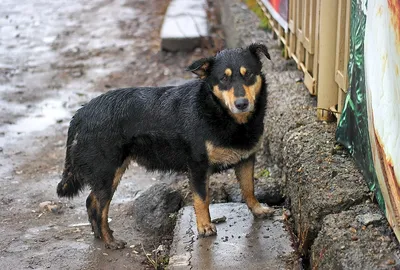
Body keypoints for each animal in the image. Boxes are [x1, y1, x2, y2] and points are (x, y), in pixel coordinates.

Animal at [56, 43, 274, 249]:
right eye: (223, 79)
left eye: (249, 74)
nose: (241, 103)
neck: (220, 112)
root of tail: (80, 114)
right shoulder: (198, 166)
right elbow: (202, 199)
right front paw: (204, 226)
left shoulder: (246, 159)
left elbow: (249, 189)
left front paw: (258, 209)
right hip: (107, 172)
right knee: (100, 208)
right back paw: (110, 240)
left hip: (111, 172)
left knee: (91, 201)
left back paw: (99, 235)